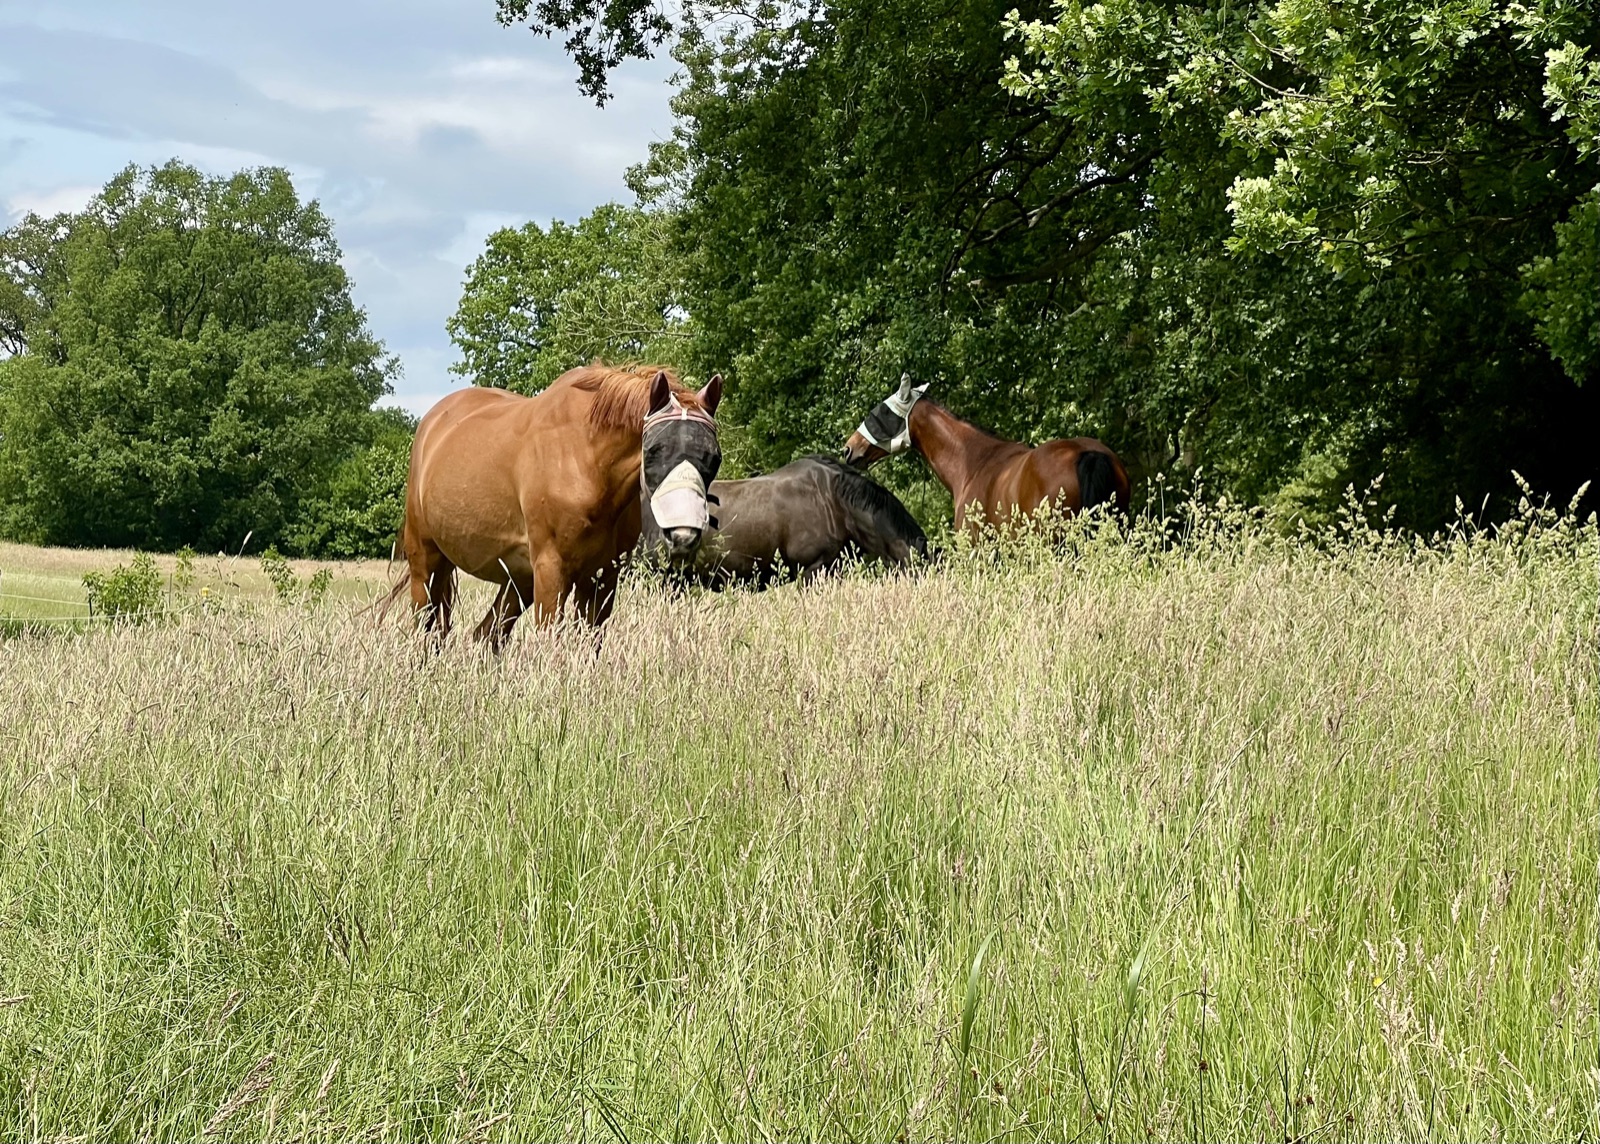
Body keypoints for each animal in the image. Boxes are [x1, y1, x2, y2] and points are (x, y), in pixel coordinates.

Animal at [384, 364, 722, 649]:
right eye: (653, 450)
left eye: (714, 457)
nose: (683, 535)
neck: (584, 459)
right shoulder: (551, 571)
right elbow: (552, 645)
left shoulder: (602, 577)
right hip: (426, 562)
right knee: (427, 629)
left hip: (517, 579)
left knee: (486, 634)